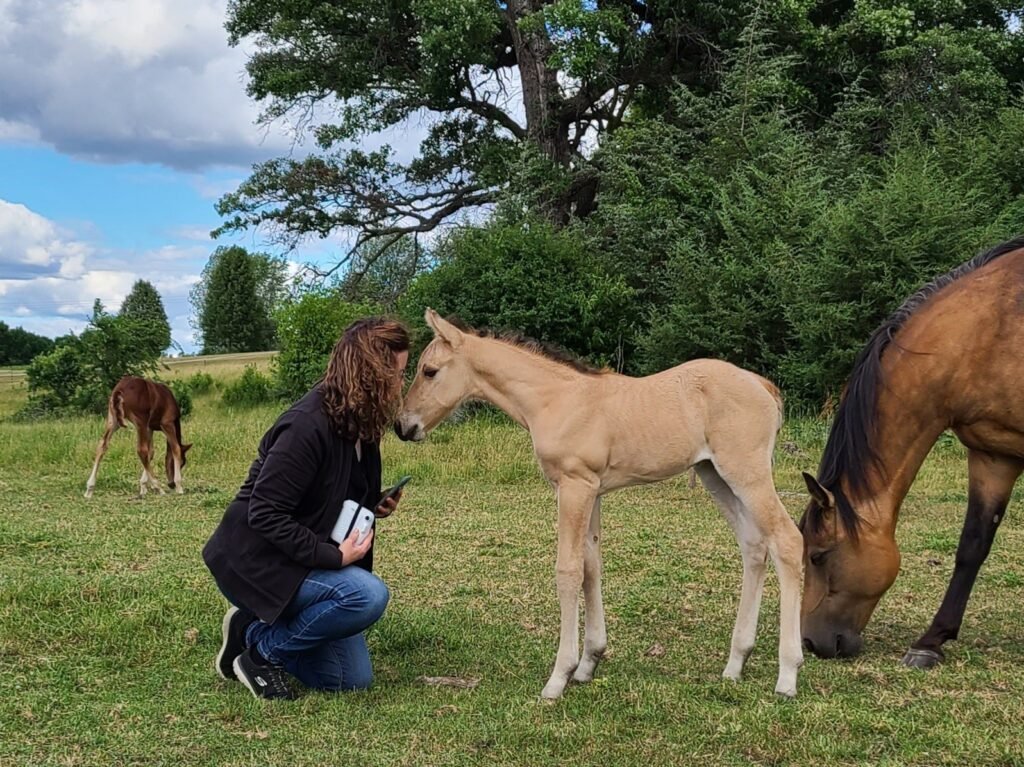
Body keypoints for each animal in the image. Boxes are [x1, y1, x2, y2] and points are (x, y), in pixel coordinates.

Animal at [395, 309, 804, 699]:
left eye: (429, 371)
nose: (402, 426)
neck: (555, 399)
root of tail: (763, 386)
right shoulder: (592, 492)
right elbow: (591, 567)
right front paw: (589, 663)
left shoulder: (574, 486)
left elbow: (568, 571)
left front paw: (558, 678)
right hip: (714, 476)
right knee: (754, 546)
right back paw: (735, 663)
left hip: (746, 473)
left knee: (787, 540)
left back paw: (787, 675)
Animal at [800, 235, 1024, 668]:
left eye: (818, 556)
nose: (810, 643)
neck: (990, 331)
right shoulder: (994, 456)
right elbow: (972, 545)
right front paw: (931, 642)